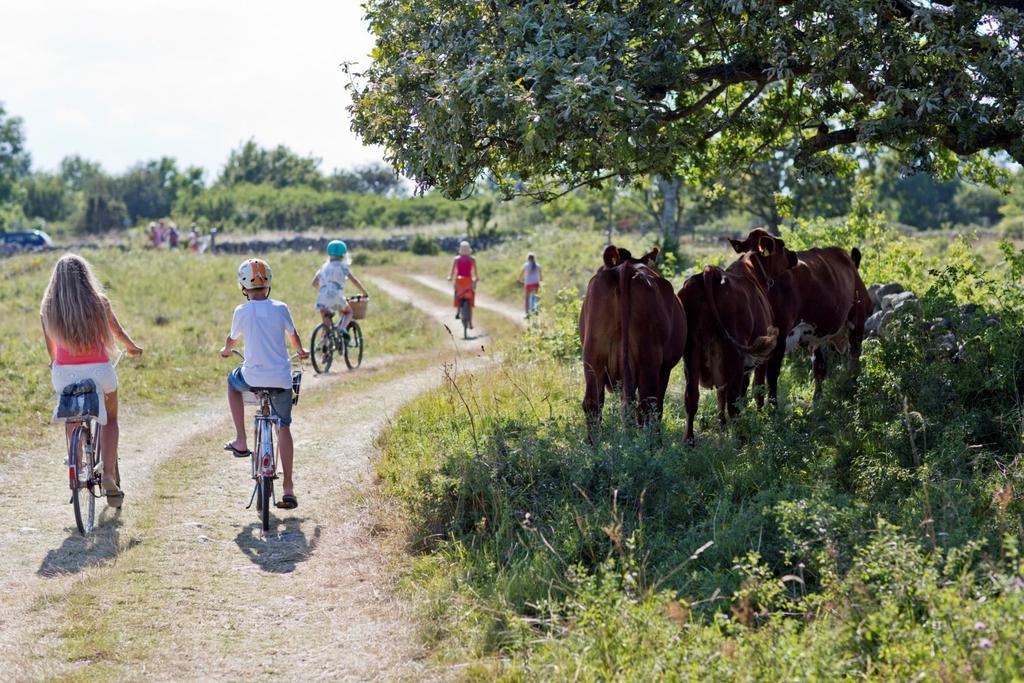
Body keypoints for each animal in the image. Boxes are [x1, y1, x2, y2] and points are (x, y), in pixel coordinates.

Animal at [581, 244, 684, 438]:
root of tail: (626, 268)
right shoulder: (665, 369)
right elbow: (658, 407)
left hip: (593, 356)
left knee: (593, 404)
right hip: (649, 359)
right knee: (646, 406)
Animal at [679, 231, 798, 444]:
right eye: (782, 245)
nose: (794, 255)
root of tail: (710, 272)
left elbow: (723, 391)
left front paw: (722, 426)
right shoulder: (760, 357)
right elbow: (757, 388)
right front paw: (761, 418)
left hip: (691, 351)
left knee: (692, 396)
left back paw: (690, 441)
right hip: (734, 352)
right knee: (733, 397)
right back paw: (741, 438)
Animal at [729, 228, 872, 405]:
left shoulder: (779, 338)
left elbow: (770, 377)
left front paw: (773, 408)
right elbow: (745, 383)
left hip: (858, 320)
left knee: (855, 358)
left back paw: (853, 387)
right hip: (815, 336)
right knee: (819, 367)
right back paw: (817, 400)